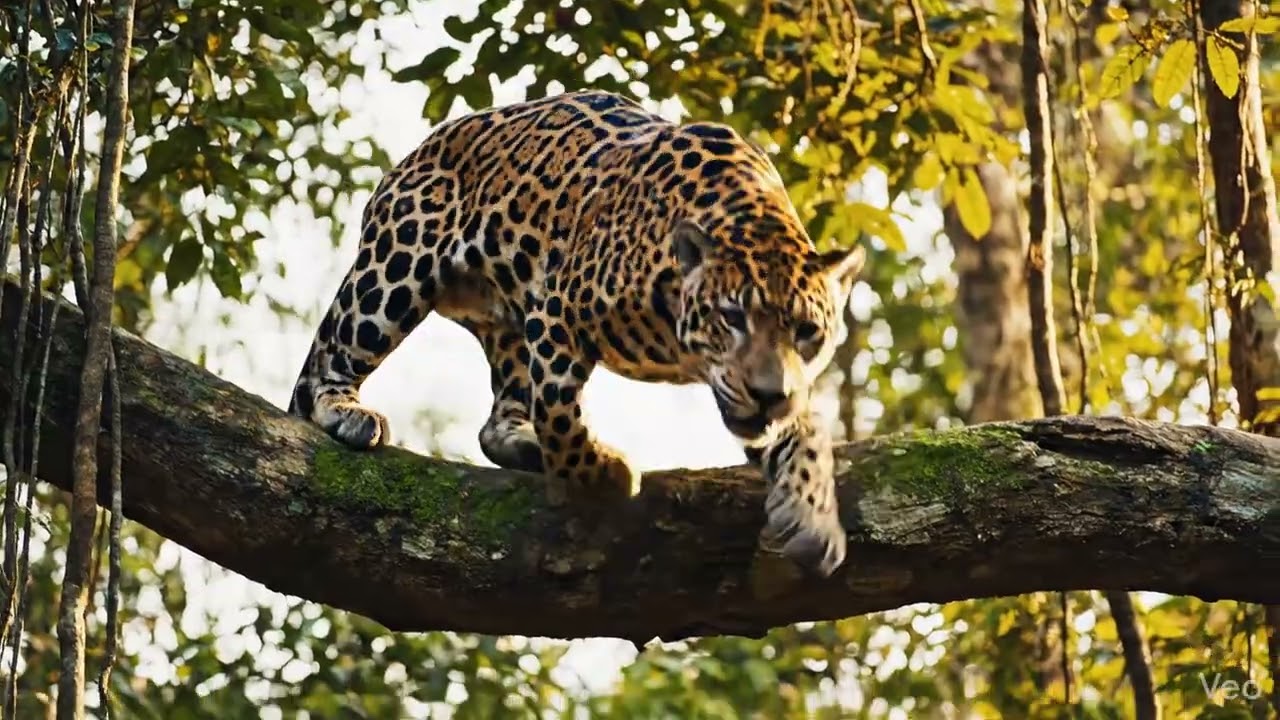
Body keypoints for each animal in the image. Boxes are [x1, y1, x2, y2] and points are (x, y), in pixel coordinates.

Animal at [288, 90, 865, 577]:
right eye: (732, 318)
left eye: (807, 332)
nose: (768, 395)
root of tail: (428, 144)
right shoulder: (559, 311)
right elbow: (561, 412)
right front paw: (600, 475)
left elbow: (807, 434)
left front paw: (812, 517)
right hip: (395, 268)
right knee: (329, 358)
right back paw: (344, 410)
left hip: (506, 319)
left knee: (498, 419)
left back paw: (523, 444)